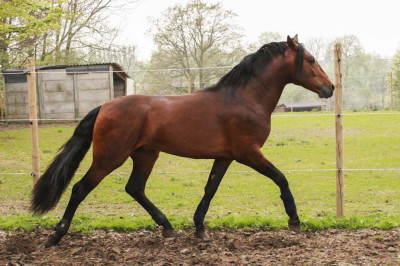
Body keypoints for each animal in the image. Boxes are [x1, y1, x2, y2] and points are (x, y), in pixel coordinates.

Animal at [31, 35, 332, 247]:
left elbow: (210, 189)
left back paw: (167, 227)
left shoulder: (225, 156)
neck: (244, 98)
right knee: (80, 189)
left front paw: (199, 227)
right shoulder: (249, 153)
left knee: (134, 188)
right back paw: (55, 236)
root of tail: (104, 106)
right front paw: (294, 220)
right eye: (311, 60)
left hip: (145, 155)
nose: (330, 88)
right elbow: (281, 178)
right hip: (109, 158)